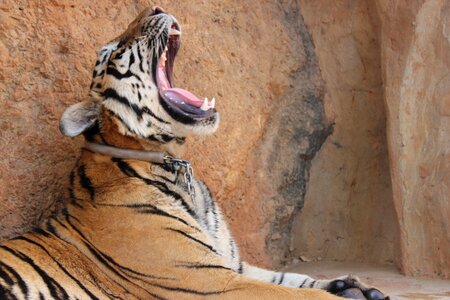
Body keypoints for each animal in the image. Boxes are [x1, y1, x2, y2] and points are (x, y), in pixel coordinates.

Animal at [0, 5, 388, 300]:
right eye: (113, 50)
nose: (156, 8)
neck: (170, 157)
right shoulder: (214, 281)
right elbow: (302, 294)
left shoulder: (233, 265)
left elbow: (293, 279)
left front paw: (355, 287)